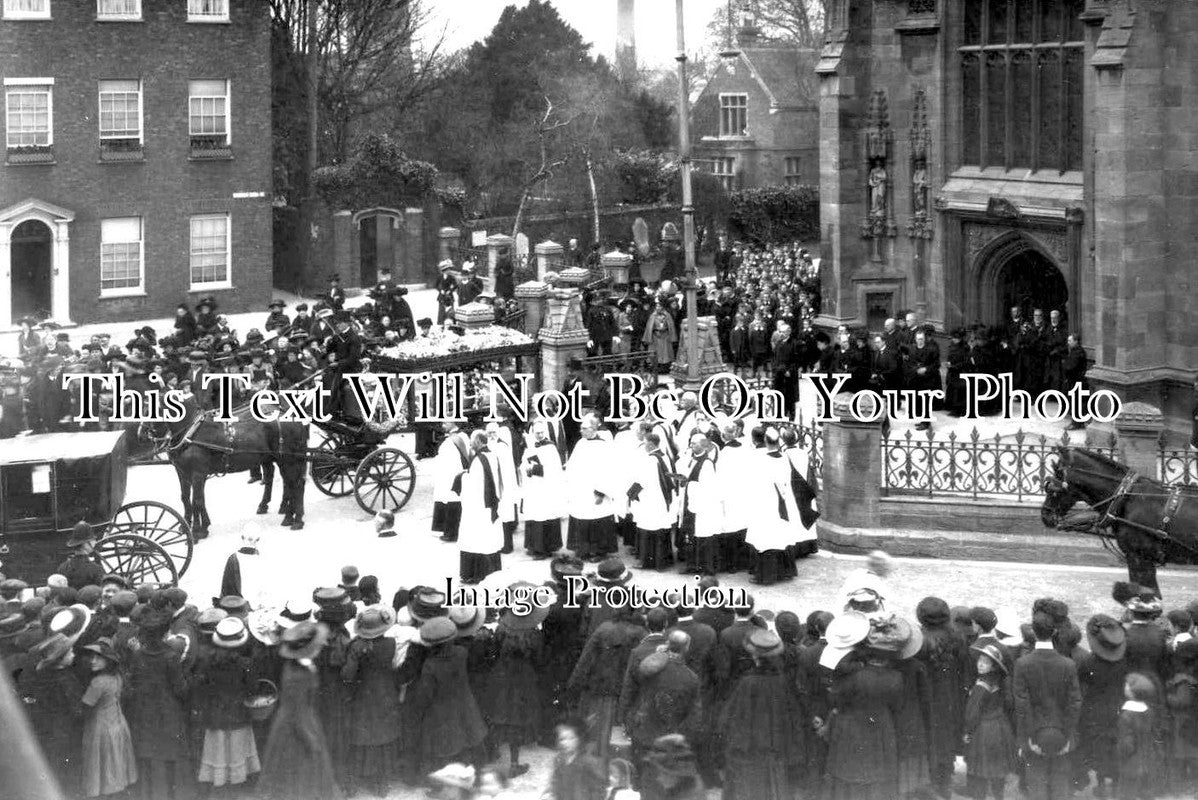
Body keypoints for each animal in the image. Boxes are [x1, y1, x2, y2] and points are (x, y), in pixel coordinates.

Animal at [140, 395, 311, 536]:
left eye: (153, 409)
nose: (141, 433)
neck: (190, 432)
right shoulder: (183, 472)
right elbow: (187, 498)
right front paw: (192, 525)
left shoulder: (197, 474)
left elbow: (197, 501)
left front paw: (196, 532)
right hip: (280, 459)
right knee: (288, 483)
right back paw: (286, 515)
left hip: (289, 460)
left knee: (296, 484)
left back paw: (296, 519)